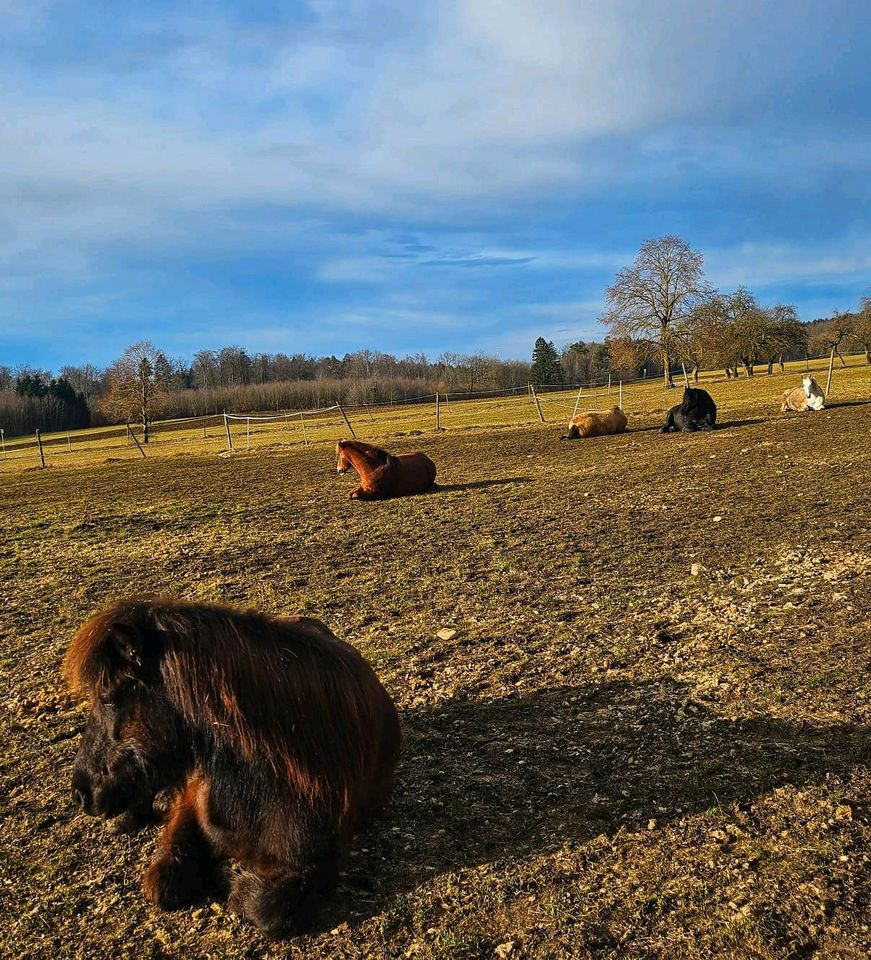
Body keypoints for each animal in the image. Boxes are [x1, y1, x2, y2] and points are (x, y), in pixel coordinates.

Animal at [64, 600, 402, 936]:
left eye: (108, 699)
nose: (81, 791)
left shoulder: (313, 866)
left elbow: (269, 909)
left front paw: (230, 874)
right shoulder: (190, 800)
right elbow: (164, 878)